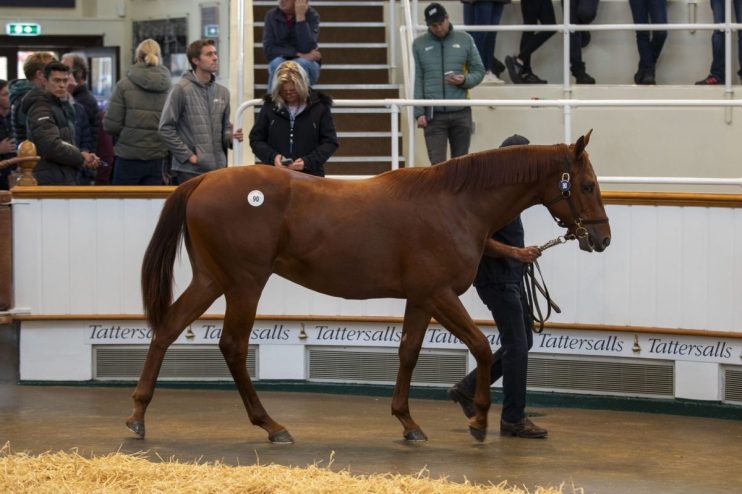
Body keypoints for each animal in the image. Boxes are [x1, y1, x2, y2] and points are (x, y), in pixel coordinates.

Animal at [127, 130, 610, 444]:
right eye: (587, 184)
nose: (602, 238)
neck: (454, 204)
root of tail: (203, 180)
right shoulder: (440, 295)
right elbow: (482, 347)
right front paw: (477, 422)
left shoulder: (421, 299)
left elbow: (408, 353)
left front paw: (408, 423)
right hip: (245, 284)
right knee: (232, 346)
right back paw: (271, 425)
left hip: (212, 280)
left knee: (167, 329)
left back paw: (138, 414)